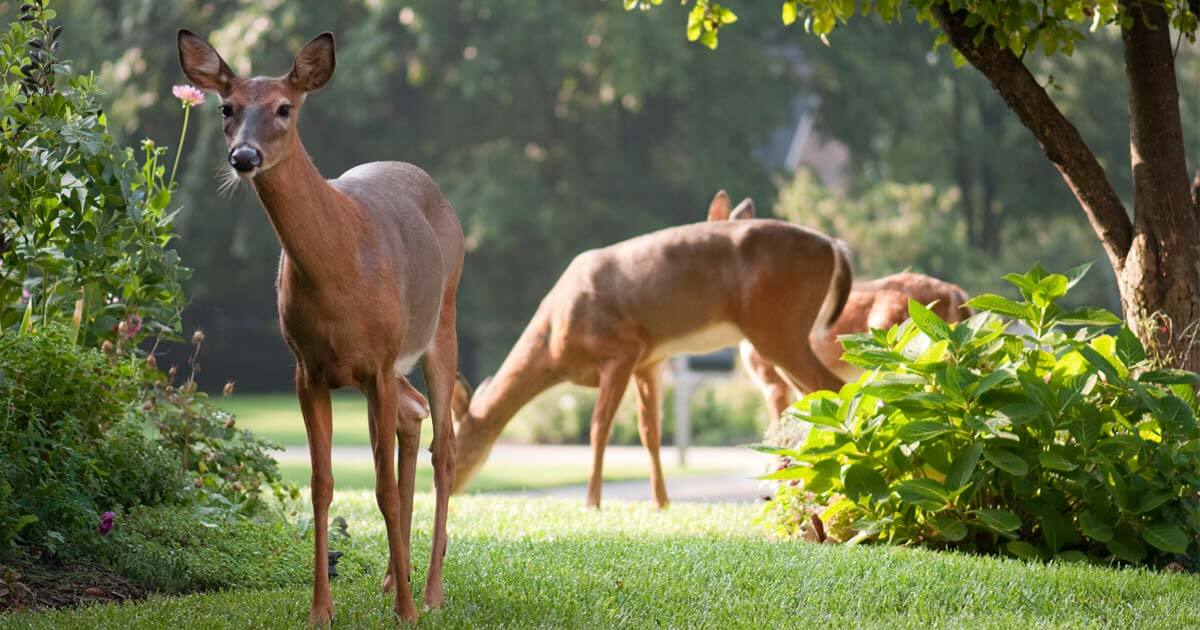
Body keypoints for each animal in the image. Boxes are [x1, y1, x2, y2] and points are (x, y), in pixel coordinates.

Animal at [178, 30, 463, 624]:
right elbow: (322, 486)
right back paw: (391, 577)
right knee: (414, 415)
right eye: (226, 108)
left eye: (285, 108)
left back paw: (429, 593)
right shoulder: (306, 368)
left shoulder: (379, 361)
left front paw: (405, 611)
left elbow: (381, 488)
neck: (339, 270)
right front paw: (320, 611)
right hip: (386, 366)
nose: (244, 156)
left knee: (444, 445)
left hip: (439, 320)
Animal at [451, 194, 854, 508]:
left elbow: (599, 428)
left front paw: (592, 502)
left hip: (776, 325)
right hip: (781, 332)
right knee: (812, 399)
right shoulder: (650, 360)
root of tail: (834, 246)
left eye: (457, 441)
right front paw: (661, 502)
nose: (450, 489)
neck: (554, 343)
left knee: (835, 388)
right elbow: (651, 432)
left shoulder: (621, 350)